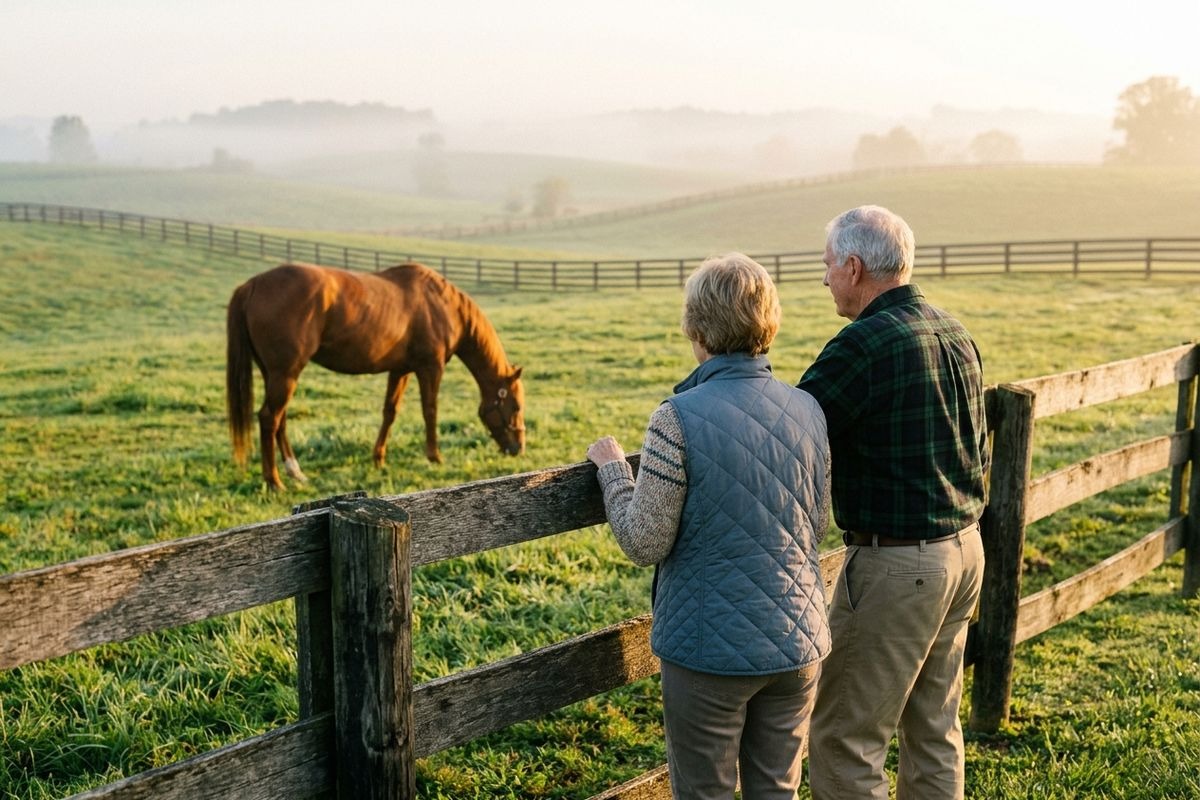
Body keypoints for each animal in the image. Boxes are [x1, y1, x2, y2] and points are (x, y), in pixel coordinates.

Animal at [226, 261, 525, 490]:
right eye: (516, 407)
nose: (518, 448)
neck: (442, 303)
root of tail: (252, 285)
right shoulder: (431, 368)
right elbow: (430, 410)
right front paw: (434, 456)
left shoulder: (400, 370)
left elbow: (389, 412)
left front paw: (378, 458)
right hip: (285, 374)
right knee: (269, 418)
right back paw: (274, 481)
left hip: (275, 374)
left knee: (280, 420)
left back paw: (295, 472)